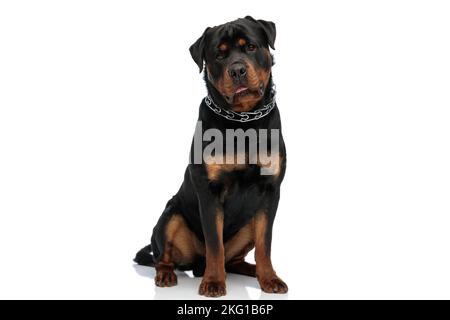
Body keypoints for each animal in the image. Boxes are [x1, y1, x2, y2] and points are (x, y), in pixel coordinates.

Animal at [134, 15, 288, 298]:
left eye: (251, 47)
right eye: (219, 54)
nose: (237, 70)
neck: (243, 121)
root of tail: (196, 265)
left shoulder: (270, 192)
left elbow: (265, 244)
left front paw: (269, 278)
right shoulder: (209, 191)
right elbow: (215, 244)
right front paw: (214, 282)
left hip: (248, 224)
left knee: (235, 259)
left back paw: (252, 271)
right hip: (171, 215)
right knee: (164, 257)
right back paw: (167, 275)